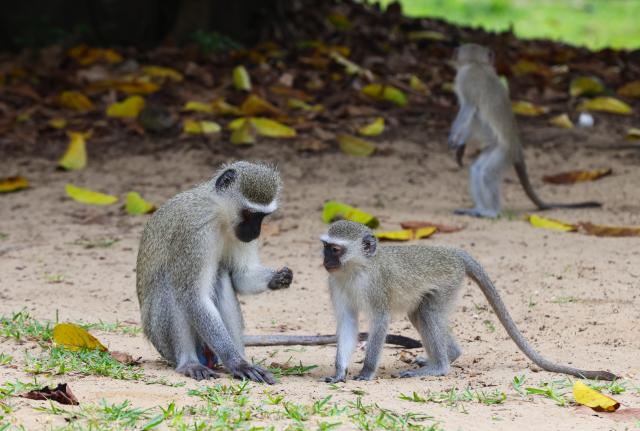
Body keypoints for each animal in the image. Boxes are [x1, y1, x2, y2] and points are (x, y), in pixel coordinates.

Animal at [136, 161, 420, 383]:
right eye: (249, 214)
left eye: (263, 217)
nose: (255, 232)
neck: (219, 216)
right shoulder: (194, 231)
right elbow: (193, 295)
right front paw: (237, 363)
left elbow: (240, 276)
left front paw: (279, 278)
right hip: (161, 338)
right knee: (173, 288)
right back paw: (192, 362)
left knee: (221, 275)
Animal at [321, 220, 617, 382]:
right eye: (325, 248)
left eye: (335, 249)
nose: (325, 261)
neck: (356, 269)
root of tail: (453, 253)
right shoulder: (335, 283)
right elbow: (348, 323)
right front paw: (339, 371)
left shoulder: (376, 286)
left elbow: (380, 321)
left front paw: (366, 372)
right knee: (422, 313)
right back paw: (450, 355)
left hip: (448, 283)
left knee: (428, 314)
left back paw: (440, 367)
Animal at [448, 43, 602, 218]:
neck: (476, 64)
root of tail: (516, 145)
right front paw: (461, 145)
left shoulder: (465, 79)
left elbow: (467, 108)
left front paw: (455, 139)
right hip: (496, 149)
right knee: (477, 170)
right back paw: (479, 209)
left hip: (504, 152)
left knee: (487, 174)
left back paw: (491, 212)